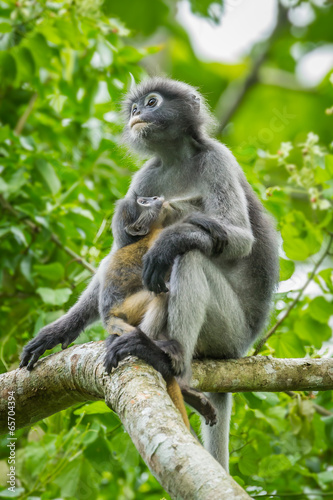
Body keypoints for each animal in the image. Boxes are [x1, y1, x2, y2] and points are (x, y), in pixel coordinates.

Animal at [20, 78, 278, 472]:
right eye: (134, 107)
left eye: (152, 103)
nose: (138, 113)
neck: (176, 158)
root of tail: (241, 345)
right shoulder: (147, 177)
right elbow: (115, 259)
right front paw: (57, 331)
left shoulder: (217, 159)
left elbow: (239, 239)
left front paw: (171, 239)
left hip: (229, 333)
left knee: (190, 257)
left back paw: (167, 355)